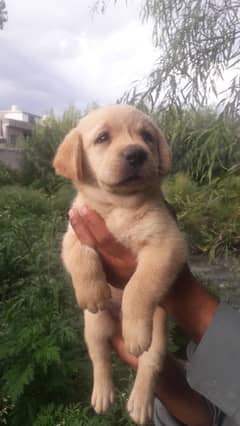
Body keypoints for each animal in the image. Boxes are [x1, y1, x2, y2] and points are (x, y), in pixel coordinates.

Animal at [53, 105, 188, 424]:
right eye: (103, 137)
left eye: (147, 137)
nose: (136, 154)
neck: (119, 207)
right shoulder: (72, 235)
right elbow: (83, 257)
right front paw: (92, 292)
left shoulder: (167, 245)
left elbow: (139, 286)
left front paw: (134, 327)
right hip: (93, 326)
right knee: (100, 358)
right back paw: (102, 395)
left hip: (158, 334)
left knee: (149, 365)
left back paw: (140, 404)